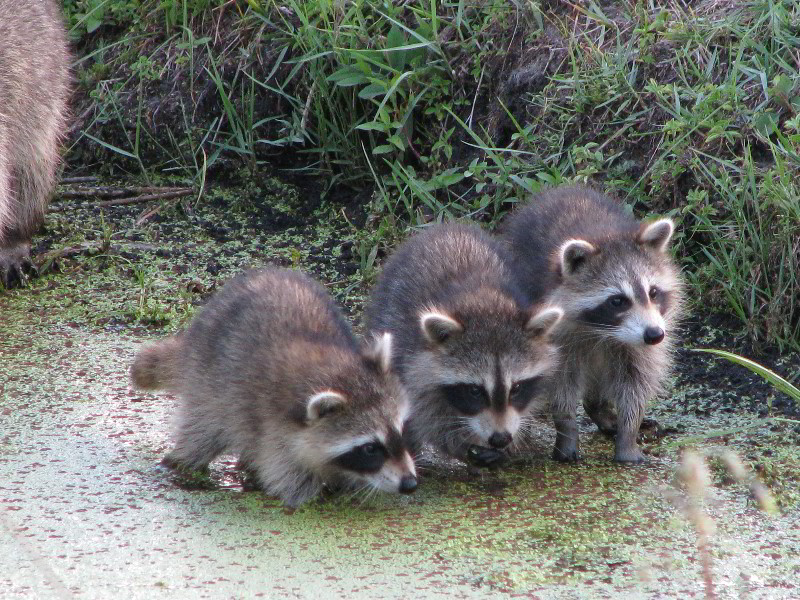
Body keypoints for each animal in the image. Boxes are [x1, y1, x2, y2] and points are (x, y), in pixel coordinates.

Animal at [130, 268, 418, 506]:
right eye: (370, 448)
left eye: (402, 429)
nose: (410, 484)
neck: (329, 366)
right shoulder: (275, 432)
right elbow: (290, 482)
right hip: (209, 384)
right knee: (201, 434)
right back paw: (181, 463)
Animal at [364, 223, 564, 466]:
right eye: (475, 391)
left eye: (516, 388)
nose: (500, 438)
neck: (482, 299)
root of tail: (445, 228)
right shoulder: (412, 357)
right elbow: (426, 416)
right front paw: (460, 444)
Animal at [504, 186, 684, 464]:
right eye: (617, 300)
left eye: (653, 292)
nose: (655, 335)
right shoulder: (553, 334)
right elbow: (561, 385)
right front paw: (566, 432)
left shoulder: (639, 341)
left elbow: (636, 381)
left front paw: (628, 433)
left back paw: (601, 410)